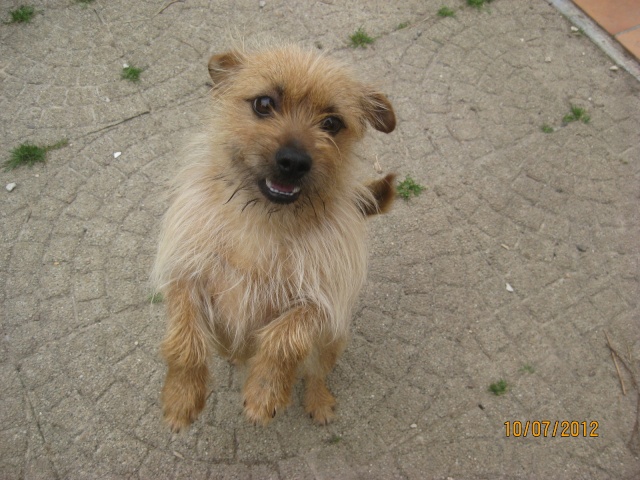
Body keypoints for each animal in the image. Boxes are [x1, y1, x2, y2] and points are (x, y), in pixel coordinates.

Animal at [153, 43, 398, 430]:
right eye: (264, 103)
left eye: (332, 123)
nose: (294, 161)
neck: (263, 222)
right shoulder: (186, 276)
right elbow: (184, 340)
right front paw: (181, 395)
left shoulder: (320, 302)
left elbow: (285, 337)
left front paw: (265, 391)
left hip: (330, 343)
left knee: (316, 373)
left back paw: (317, 400)